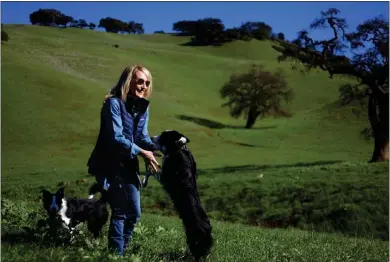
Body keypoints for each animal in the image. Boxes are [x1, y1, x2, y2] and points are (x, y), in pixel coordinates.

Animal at [150, 130, 213, 260]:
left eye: (162, 136)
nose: (151, 137)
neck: (177, 149)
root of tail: (208, 229)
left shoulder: (166, 176)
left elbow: (157, 171)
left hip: (194, 241)